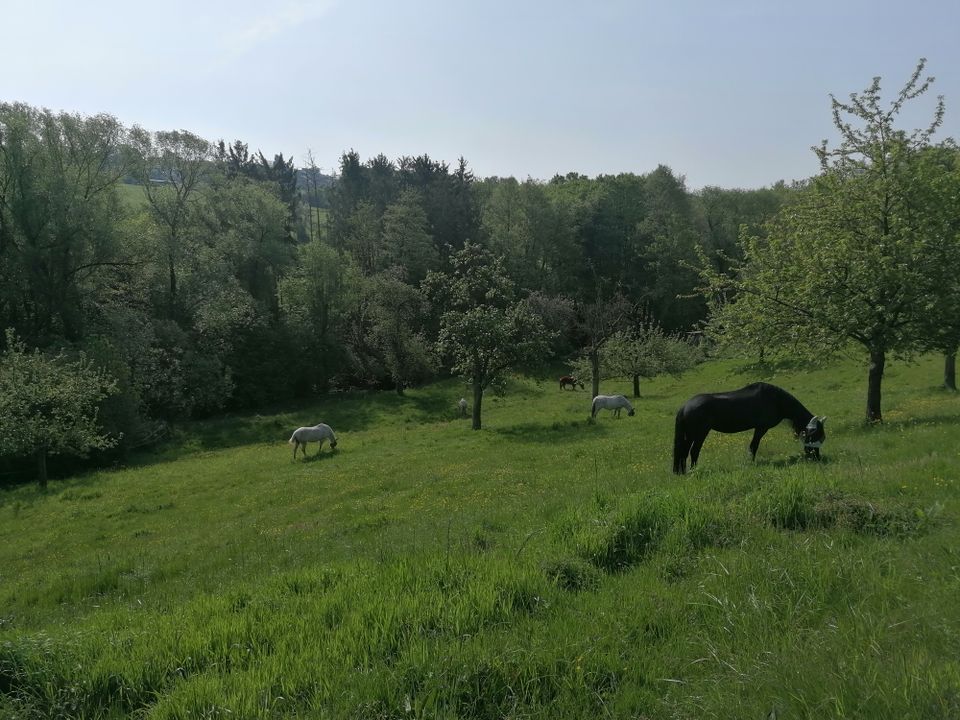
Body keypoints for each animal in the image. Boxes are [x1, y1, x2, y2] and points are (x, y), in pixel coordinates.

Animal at [676, 380, 824, 476]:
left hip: (690, 435)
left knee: (684, 452)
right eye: (815, 435)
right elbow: (754, 446)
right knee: (693, 451)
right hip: (699, 434)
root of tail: (685, 406)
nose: (817, 458)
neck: (776, 400)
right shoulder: (761, 428)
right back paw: (694, 471)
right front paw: (751, 463)